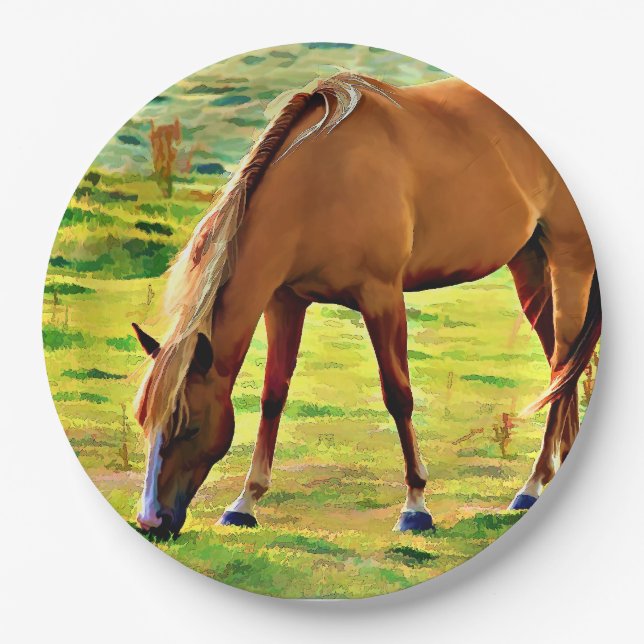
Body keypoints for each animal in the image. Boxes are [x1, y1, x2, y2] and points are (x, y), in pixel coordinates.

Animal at [131, 73, 601, 539]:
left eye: (189, 427)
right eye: (145, 423)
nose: (151, 522)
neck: (319, 181)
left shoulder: (381, 296)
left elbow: (398, 395)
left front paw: (415, 506)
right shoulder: (284, 302)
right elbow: (273, 396)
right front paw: (244, 502)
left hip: (569, 260)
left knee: (563, 361)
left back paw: (531, 486)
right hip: (529, 262)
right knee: (561, 364)